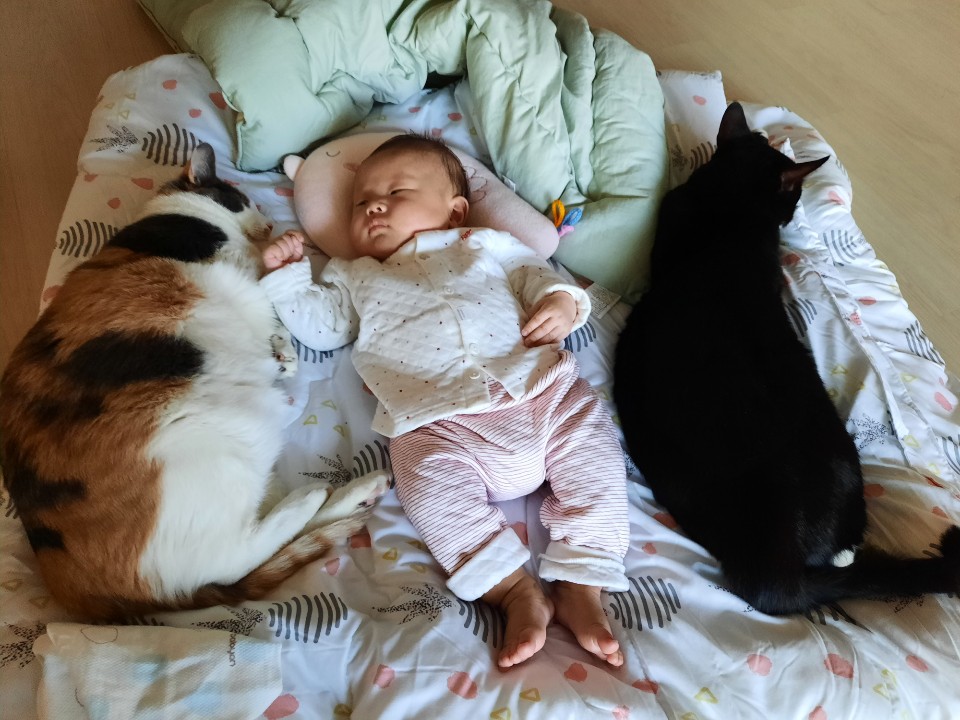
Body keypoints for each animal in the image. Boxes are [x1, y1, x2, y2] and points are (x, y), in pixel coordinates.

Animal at [0, 143, 388, 621]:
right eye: (244, 200)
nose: (269, 223)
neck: (171, 215)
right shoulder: (234, 270)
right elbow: (266, 289)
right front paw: (281, 306)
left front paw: (283, 353)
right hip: (202, 450)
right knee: (235, 557)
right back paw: (309, 498)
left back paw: (357, 492)